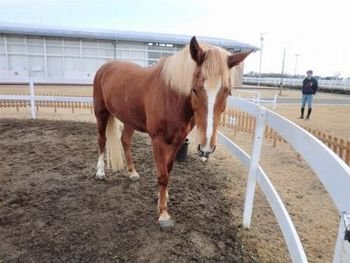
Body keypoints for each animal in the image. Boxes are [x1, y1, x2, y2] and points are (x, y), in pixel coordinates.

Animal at [92, 36, 252, 229]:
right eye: (195, 89)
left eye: (227, 92)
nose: (206, 148)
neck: (171, 96)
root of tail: (105, 67)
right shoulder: (158, 140)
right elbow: (162, 175)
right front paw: (163, 215)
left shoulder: (178, 140)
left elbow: (168, 170)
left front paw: (163, 198)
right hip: (101, 113)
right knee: (102, 140)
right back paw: (100, 172)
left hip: (130, 119)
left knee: (125, 141)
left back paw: (132, 172)